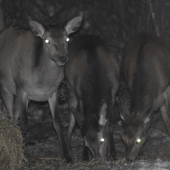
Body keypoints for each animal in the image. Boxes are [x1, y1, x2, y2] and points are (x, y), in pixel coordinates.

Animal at [0, 12, 83, 163]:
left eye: (67, 38)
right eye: (48, 41)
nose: (63, 58)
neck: (41, 83)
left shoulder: (53, 92)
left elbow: (57, 122)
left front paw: (67, 155)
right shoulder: (21, 88)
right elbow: (25, 123)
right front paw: (23, 155)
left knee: (14, 114)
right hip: (5, 87)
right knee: (11, 116)